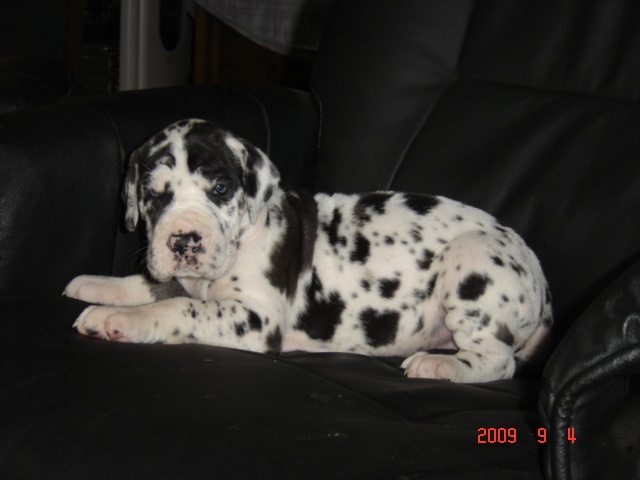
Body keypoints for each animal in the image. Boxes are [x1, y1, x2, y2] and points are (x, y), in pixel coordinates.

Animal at [64, 119, 553, 383]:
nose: (184, 240)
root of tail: (542, 285)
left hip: (471, 258)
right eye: (153, 193)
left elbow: (179, 308)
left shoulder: (254, 320)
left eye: (220, 189)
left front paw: (120, 319)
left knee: (498, 360)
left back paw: (439, 366)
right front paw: (99, 287)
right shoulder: (182, 278)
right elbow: (154, 286)